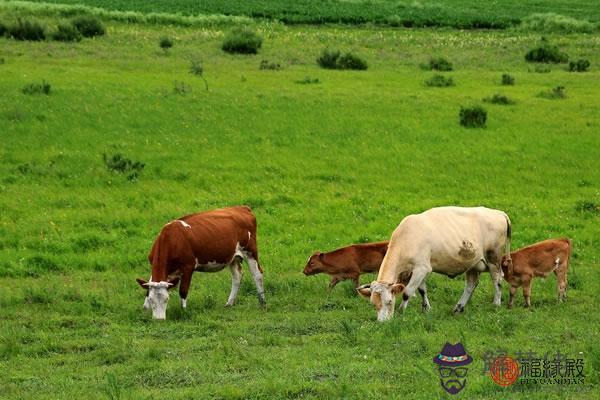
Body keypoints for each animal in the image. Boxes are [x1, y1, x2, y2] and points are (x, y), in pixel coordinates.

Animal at [356, 206, 510, 322]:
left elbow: (407, 292)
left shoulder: (421, 268)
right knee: (471, 285)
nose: (382, 322)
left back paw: (496, 303)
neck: (407, 238)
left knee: (497, 280)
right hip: (473, 263)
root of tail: (498, 212)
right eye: (373, 304)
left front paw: (401, 311)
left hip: (493, 258)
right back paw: (458, 308)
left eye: (389, 301)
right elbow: (422, 289)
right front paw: (426, 308)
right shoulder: (419, 270)